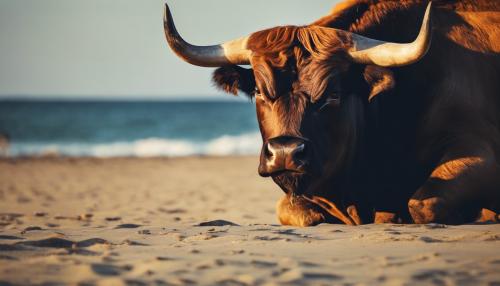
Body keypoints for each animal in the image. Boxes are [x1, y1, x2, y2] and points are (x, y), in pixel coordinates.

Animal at [164, 0, 500, 226]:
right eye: (259, 90)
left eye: (333, 94)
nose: (285, 152)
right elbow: (294, 210)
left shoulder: (478, 150)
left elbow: (423, 205)